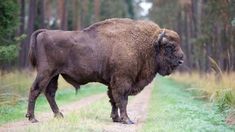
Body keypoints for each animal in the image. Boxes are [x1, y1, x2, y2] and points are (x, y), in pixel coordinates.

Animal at [25, 18, 184, 124]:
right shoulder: (122, 81)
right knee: (35, 90)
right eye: (169, 46)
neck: (147, 45)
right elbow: (122, 100)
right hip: (45, 73)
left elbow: (113, 100)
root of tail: (44, 32)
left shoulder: (112, 82)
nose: (181, 60)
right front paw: (127, 120)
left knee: (50, 93)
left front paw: (116, 118)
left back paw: (59, 116)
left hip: (54, 75)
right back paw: (32, 118)